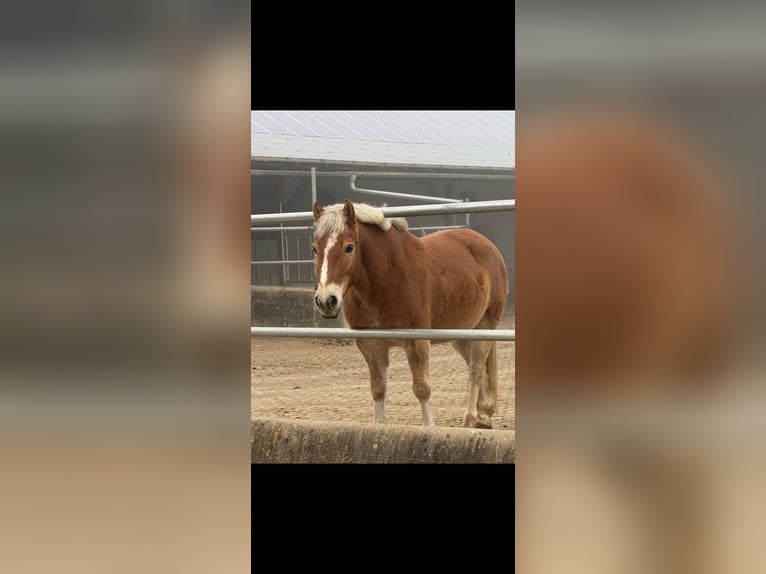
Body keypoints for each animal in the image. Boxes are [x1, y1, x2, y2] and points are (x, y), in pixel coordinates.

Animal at [311, 199, 509, 428]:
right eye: (315, 248)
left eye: (349, 247)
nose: (326, 301)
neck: (385, 278)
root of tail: (489, 246)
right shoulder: (371, 345)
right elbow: (378, 390)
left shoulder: (416, 342)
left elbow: (422, 388)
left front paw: (429, 426)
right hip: (462, 332)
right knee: (474, 366)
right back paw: (484, 416)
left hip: (485, 325)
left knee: (476, 369)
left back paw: (469, 420)